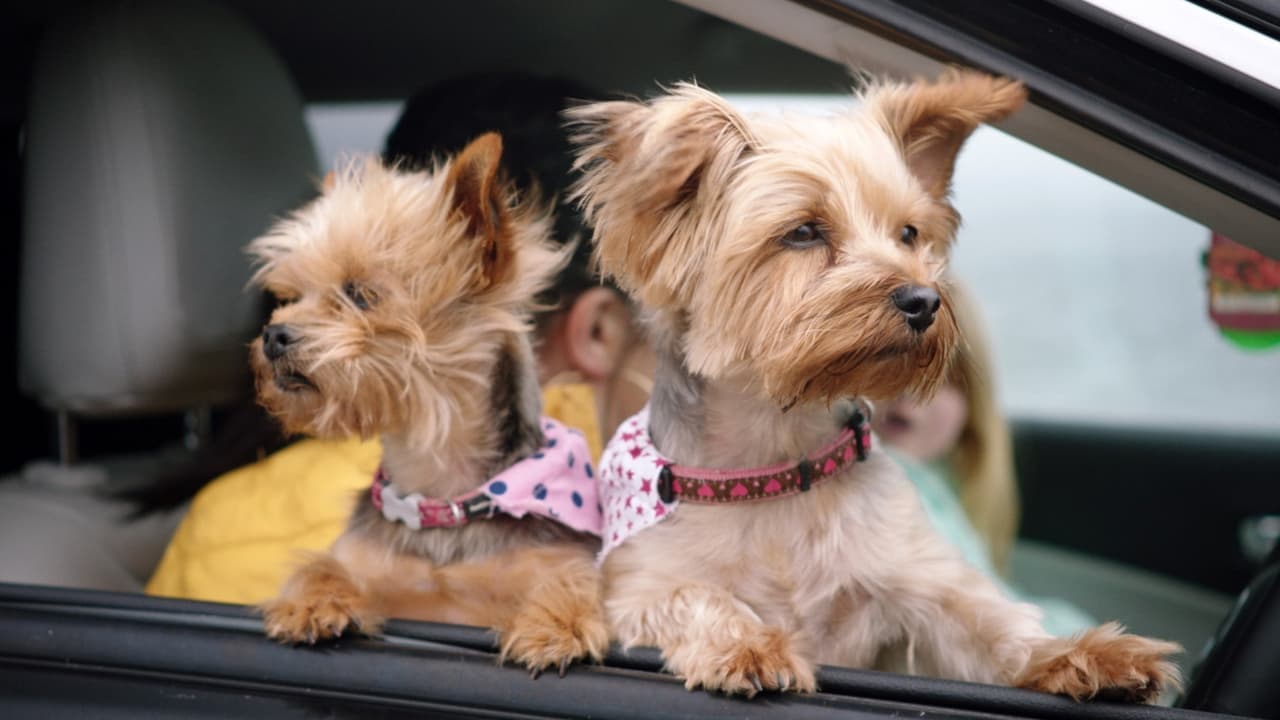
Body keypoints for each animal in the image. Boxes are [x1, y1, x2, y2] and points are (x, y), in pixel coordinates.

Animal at [253, 130, 609, 671]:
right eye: (292, 296)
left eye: (360, 295)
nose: (273, 336)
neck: (440, 501)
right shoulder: (372, 565)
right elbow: (325, 566)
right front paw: (311, 602)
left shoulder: (554, 560)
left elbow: (576, 582)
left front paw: (554, 624)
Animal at [568, 73, 1177, 702]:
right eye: (803, 232)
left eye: (908, 233)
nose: (925, 300)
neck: (779, 461)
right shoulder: (637, 585)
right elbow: (690, 597)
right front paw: (749, 646)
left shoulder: (919, 578)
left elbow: (991, 622)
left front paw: (1084, 655)